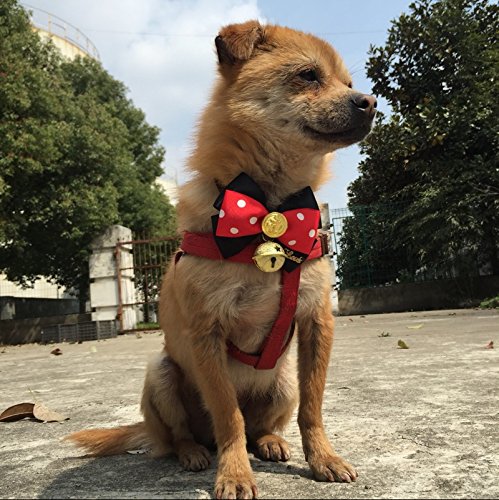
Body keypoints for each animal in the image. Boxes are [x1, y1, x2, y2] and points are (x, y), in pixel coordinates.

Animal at [67, 20, 376, 499]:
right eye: (308, 75)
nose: (370, 102)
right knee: (186, 434)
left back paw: (268, 441)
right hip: (161, 373)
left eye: (347, 83)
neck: (268, 208)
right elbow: (227, 415)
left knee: (261, 425)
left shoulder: (315, 323)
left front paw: (323, 458)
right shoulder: (207, 334)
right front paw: (233, 474)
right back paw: (193, 452)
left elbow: (312, 407)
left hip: (282, 382)